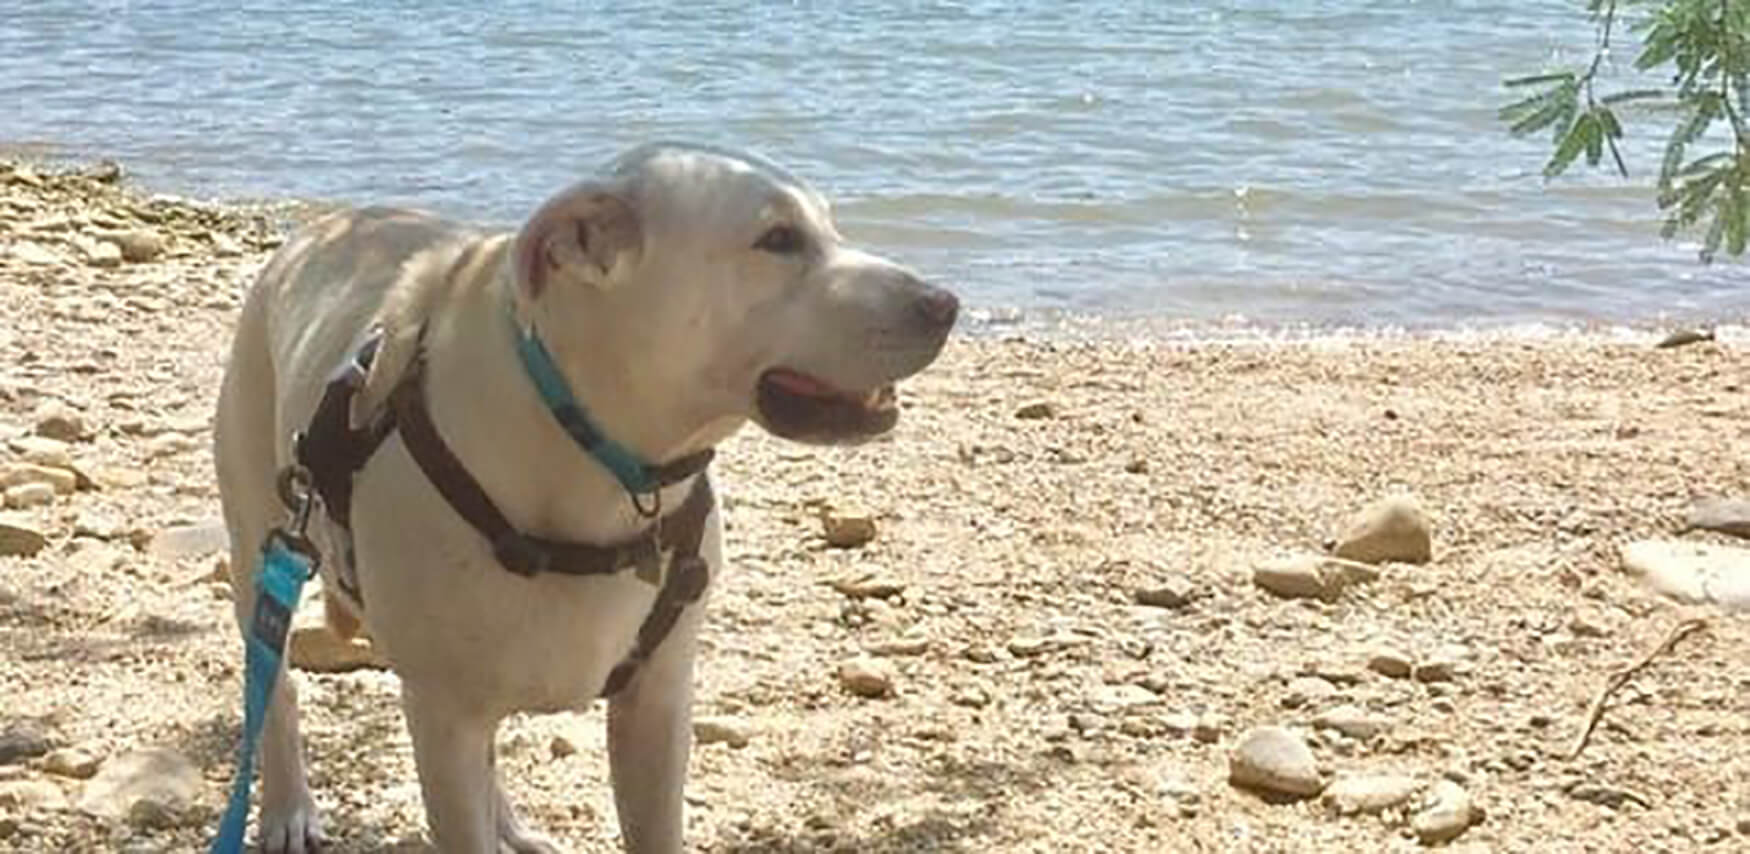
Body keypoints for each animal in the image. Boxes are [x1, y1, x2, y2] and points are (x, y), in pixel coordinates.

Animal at [213, 143, 966, 850]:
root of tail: (320, 230)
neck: (593, 455)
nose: (944, 304)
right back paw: (287, 808)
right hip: (261, 546)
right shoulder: (443, 715)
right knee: (275, 687)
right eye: (778, 239)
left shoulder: (656, 707)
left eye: (832, 226)